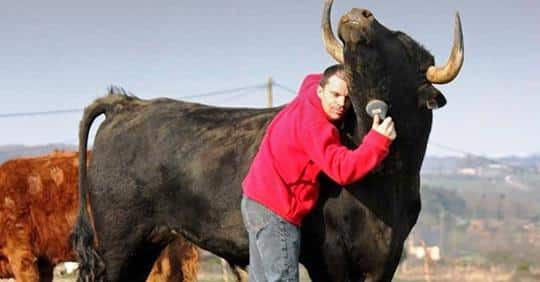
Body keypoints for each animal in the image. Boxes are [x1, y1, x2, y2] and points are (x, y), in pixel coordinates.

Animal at [71, 1, 462, 280]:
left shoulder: (387, 257)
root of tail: (128, 104)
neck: (385, 184)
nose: (357, 14)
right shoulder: (330, 256)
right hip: (119, 243)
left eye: (407, 48)